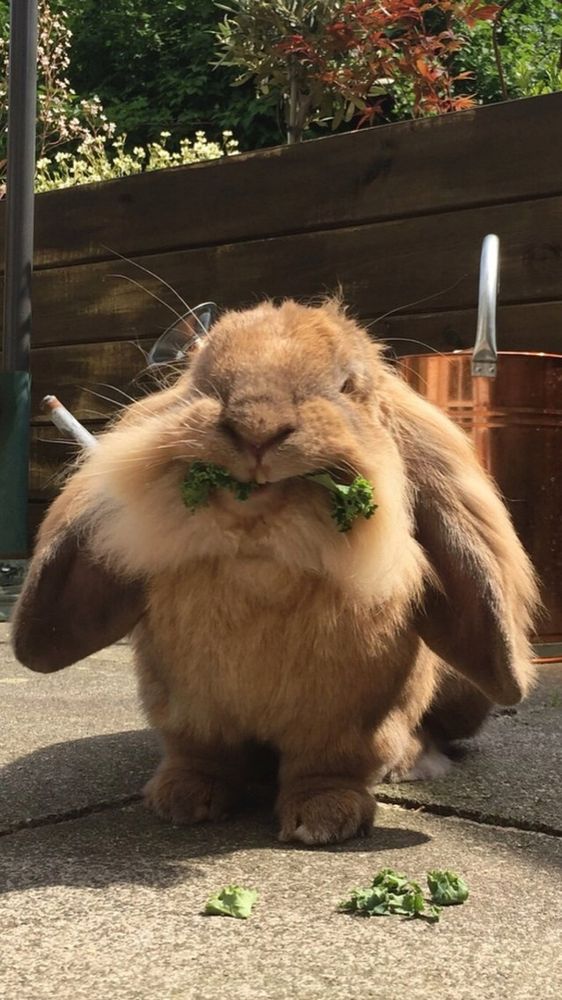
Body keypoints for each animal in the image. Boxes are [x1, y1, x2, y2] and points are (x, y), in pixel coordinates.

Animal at [12, 298, 540, 845]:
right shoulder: (188, 705)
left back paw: (407, 763)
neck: (262, 558)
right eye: (201, 378)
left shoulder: (348, 716)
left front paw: (323, 819)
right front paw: (181, 800)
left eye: (349, 385)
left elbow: (328, 766)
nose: (257, 428)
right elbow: (201, 754)